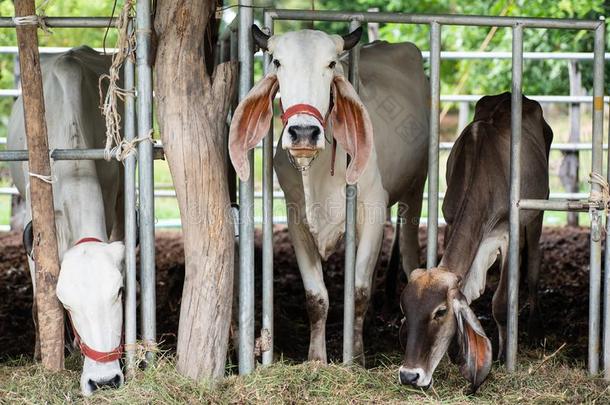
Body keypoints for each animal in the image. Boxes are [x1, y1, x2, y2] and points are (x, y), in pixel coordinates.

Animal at [228, 25, 428, 362]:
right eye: (277, 62)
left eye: (331, 63)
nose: (304, 133)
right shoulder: (296, 220)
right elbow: (316, 297)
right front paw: (316, 358)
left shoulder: (373, 212)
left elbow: (359, 292)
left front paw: (356, 357)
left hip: (416, 188)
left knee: (411, 253)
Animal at [394, 92, 552, 392]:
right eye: (405, 309)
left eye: (440, 312)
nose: (409, 375)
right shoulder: (450, 220)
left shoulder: (509, 235)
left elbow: (500, 304)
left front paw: (501, 357)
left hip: (537, 212)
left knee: (535, 262)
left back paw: (535, 321)